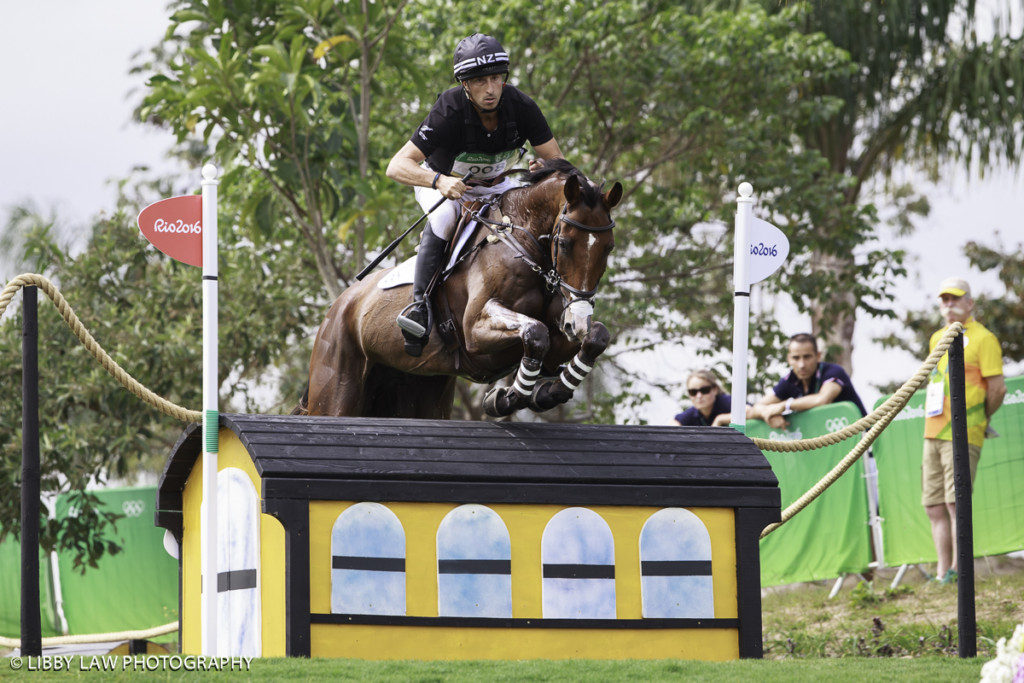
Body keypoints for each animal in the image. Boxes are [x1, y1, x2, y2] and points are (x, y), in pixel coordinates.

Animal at [292, 161, 618, 417]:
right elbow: (535, 333)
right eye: (564, 243)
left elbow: (596, 337)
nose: (576, 323)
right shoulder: (475, 330)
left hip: (419, 387)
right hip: (336, 389)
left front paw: (549, 392)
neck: (521, 244)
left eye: (609, 248)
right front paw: (507, 398)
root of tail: (338, 306)